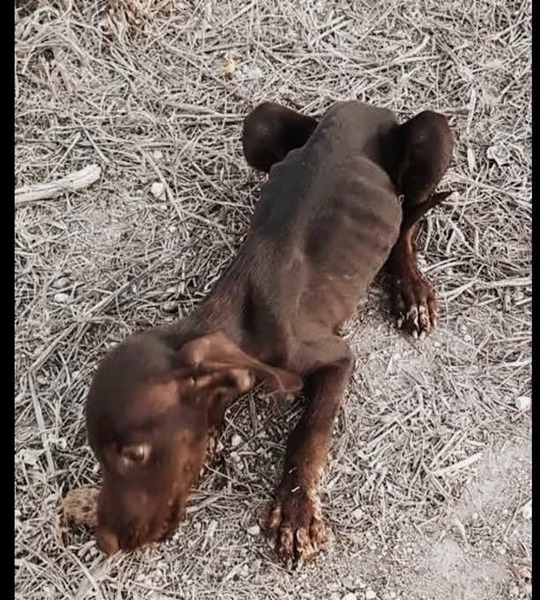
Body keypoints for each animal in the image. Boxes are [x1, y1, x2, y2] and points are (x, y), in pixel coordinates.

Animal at [85, 100, 453, 565]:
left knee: (407, 221)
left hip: (432, 136)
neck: (237, 318)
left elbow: (309, 434)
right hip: (257, 128)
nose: (104, 543)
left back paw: (411, 290)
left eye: (136, 455)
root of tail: (363, 107)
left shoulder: (335, 356)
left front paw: (296, 511)